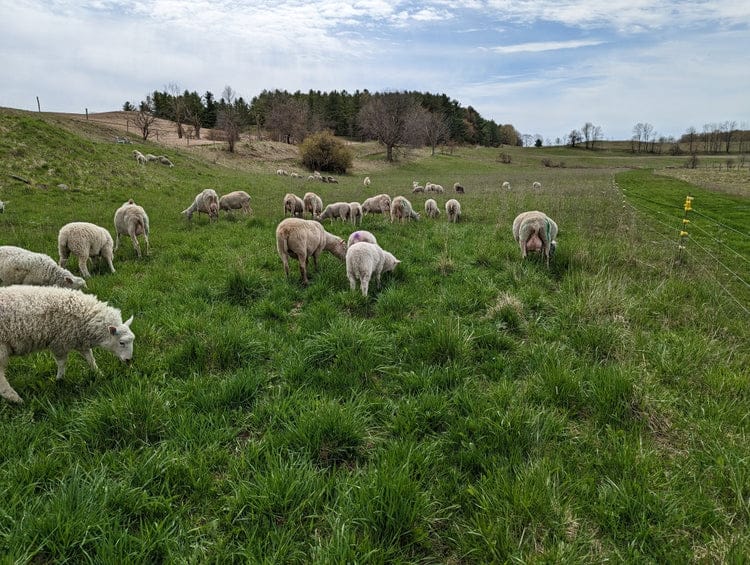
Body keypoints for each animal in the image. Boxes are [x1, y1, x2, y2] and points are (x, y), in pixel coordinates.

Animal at [0, 286, 134, 400]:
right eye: (121, 343)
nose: (129, 360)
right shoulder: (59, 342)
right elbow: (62, 362)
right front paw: (60, 379)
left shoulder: (79, 339)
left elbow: (90, 358)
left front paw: (98, 373)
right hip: (1, 349)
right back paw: (15, 398)